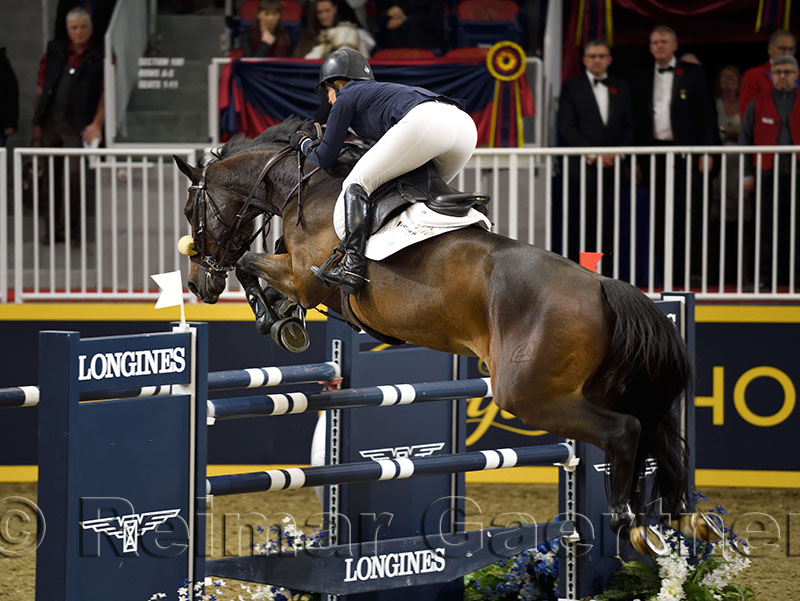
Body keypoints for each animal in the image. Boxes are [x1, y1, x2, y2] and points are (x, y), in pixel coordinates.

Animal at [173, 117, 712, 552]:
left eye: (189, 212)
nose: (199, 285)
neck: (304, 186)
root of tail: (601, 286)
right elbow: (259, 268)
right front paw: (284, 317)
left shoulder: (307, 277)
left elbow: (250, 262)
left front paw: (278, 320)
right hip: (606, 385)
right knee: (658, 431)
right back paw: (680, 518)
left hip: (530, 394)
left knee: (625, 431)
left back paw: (632, 524)